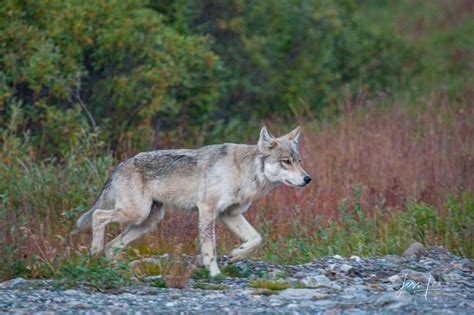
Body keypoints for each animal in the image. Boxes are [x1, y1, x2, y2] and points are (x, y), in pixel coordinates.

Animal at [73, 126, 312, 276]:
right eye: (286, 162)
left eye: (299, 161)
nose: (307, 179)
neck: (244, 172)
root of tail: (120, 164)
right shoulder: (207, 210)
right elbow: (209, 248)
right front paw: (214, 274)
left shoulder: (229, 214)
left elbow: (256, 239)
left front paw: (237, 255)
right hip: (136, 214)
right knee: (98, 216)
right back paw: (94, 252)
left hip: (148, 221)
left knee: (113, 245)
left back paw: (114, 268)